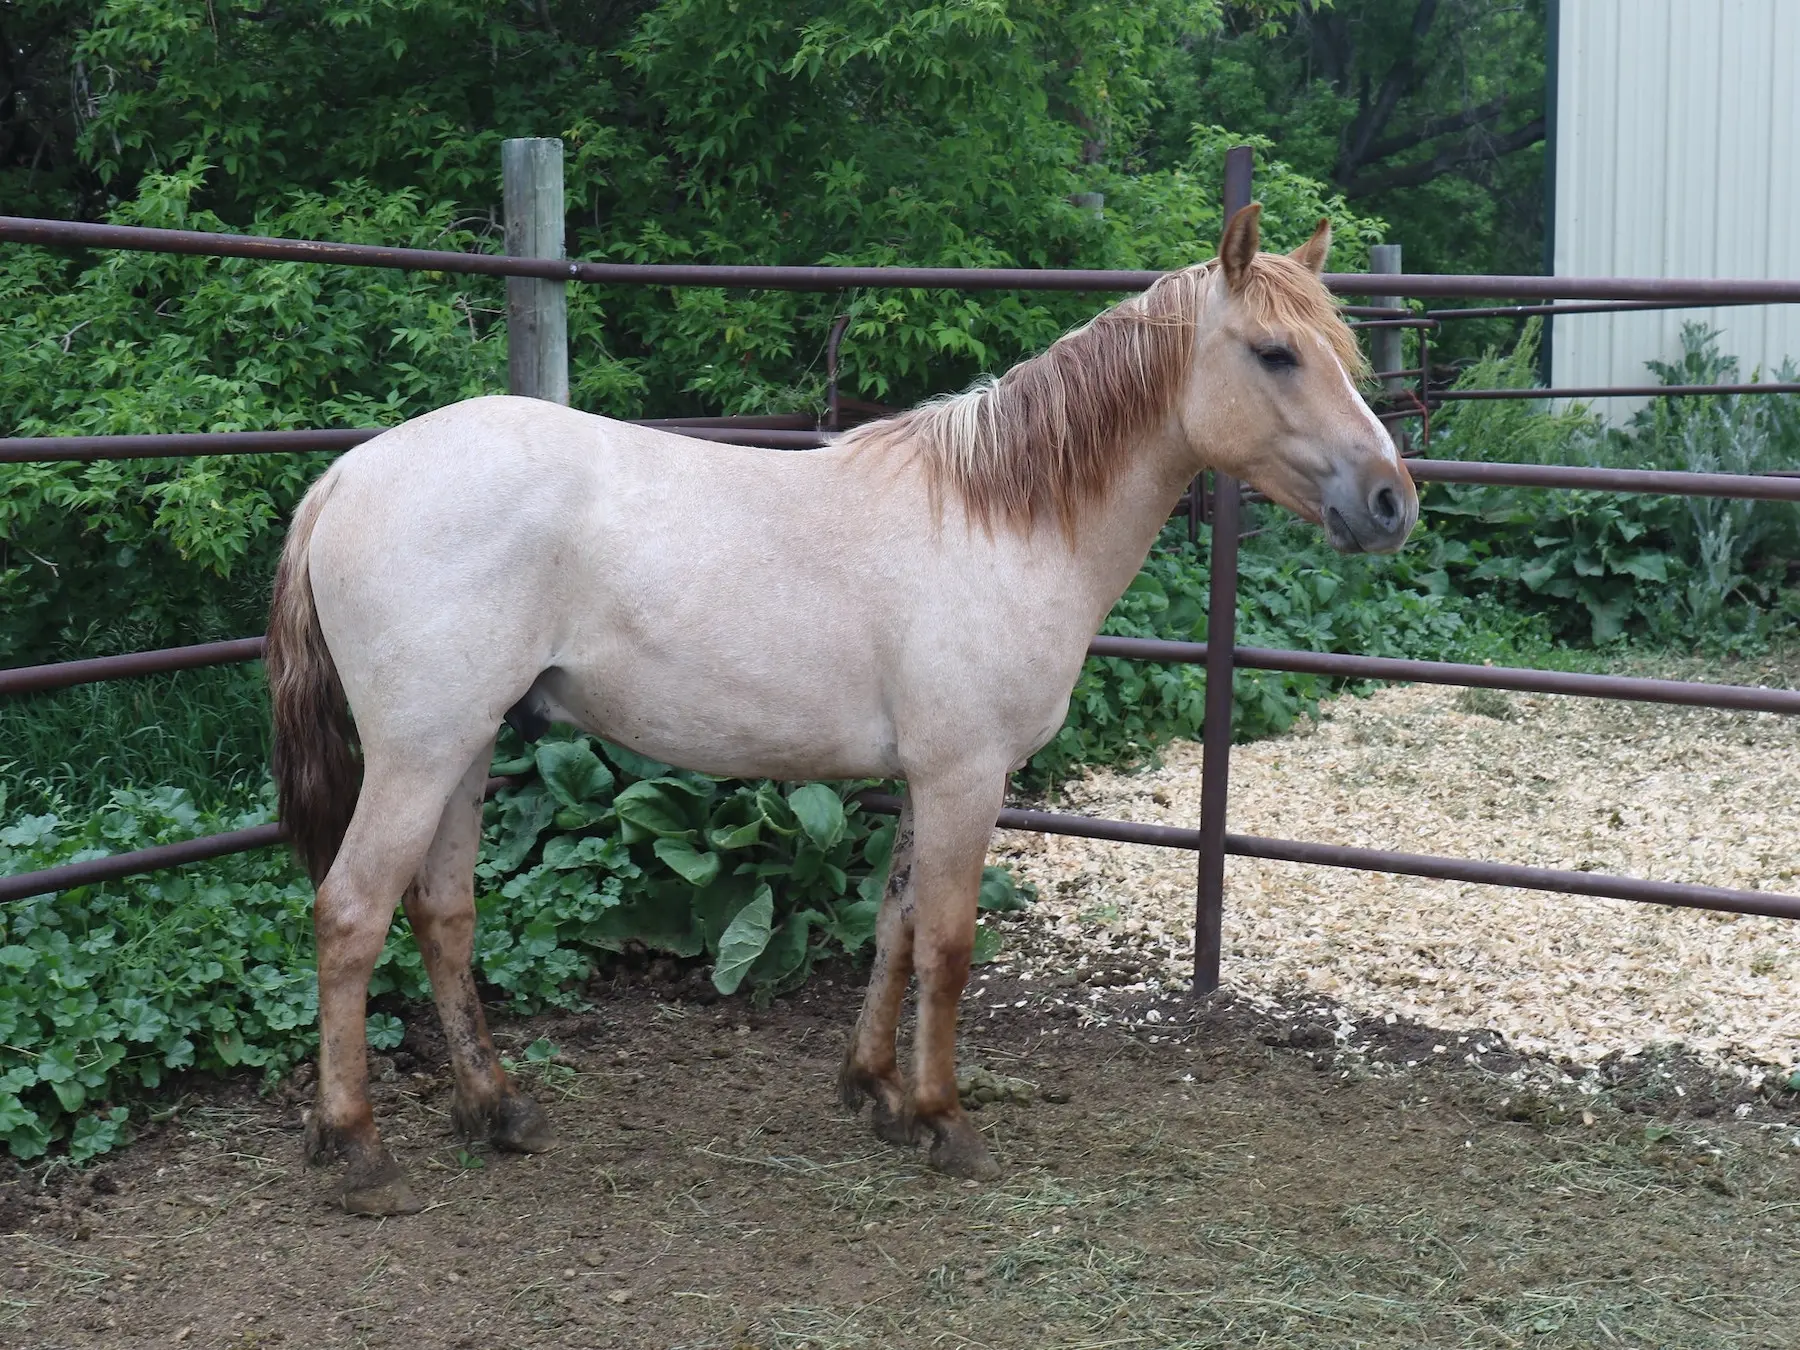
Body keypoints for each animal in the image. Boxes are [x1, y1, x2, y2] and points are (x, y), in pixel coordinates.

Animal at [270, 208, 1418, 1216]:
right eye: (1275, 353)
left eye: (1343, 351)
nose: (1391, 502)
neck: (1002, 521)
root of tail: (350, 473)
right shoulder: (966, 774)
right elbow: (948, 944)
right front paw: (944, 1120)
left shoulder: (927, 777)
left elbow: (895, 926)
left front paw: (876, 1094)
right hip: (418, 754)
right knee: (352, 914)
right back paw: (358, 1151)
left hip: (464, 750)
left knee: (443, 913)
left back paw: (497, 1108)